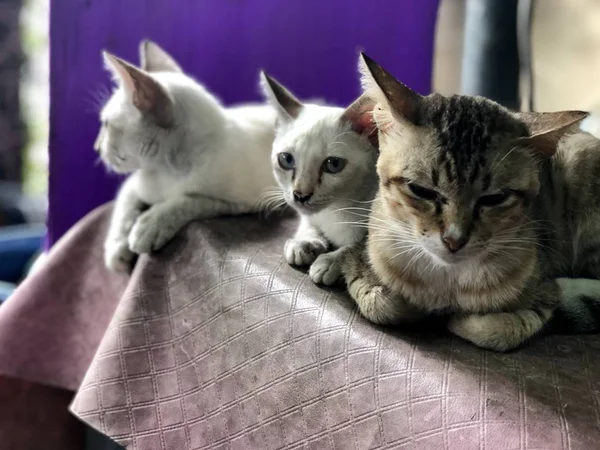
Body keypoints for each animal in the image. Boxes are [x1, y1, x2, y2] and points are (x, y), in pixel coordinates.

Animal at [97, 40, 278, 270]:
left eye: (106, 125)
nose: (96, 148)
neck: (163, 171)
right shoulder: (134, 185)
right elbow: (124, 206)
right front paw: (117, 251)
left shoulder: (243, 202)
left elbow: (187, 201)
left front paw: (150, 225)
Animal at [260, 73, 378, 284]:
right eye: (286, 160)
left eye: (333, 164)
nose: (300, 195)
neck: (334, 212)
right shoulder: (309, 217)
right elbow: (308, 224)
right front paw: (303, 244)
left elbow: (359, 246)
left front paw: (329, 261)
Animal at [340, 52, 600, 352]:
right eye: (420, 190)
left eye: (495, 198)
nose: (454, 240)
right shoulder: (360, 260)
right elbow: (380, 304)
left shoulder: (543, 288)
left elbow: (507, 326)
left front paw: (462, 320)